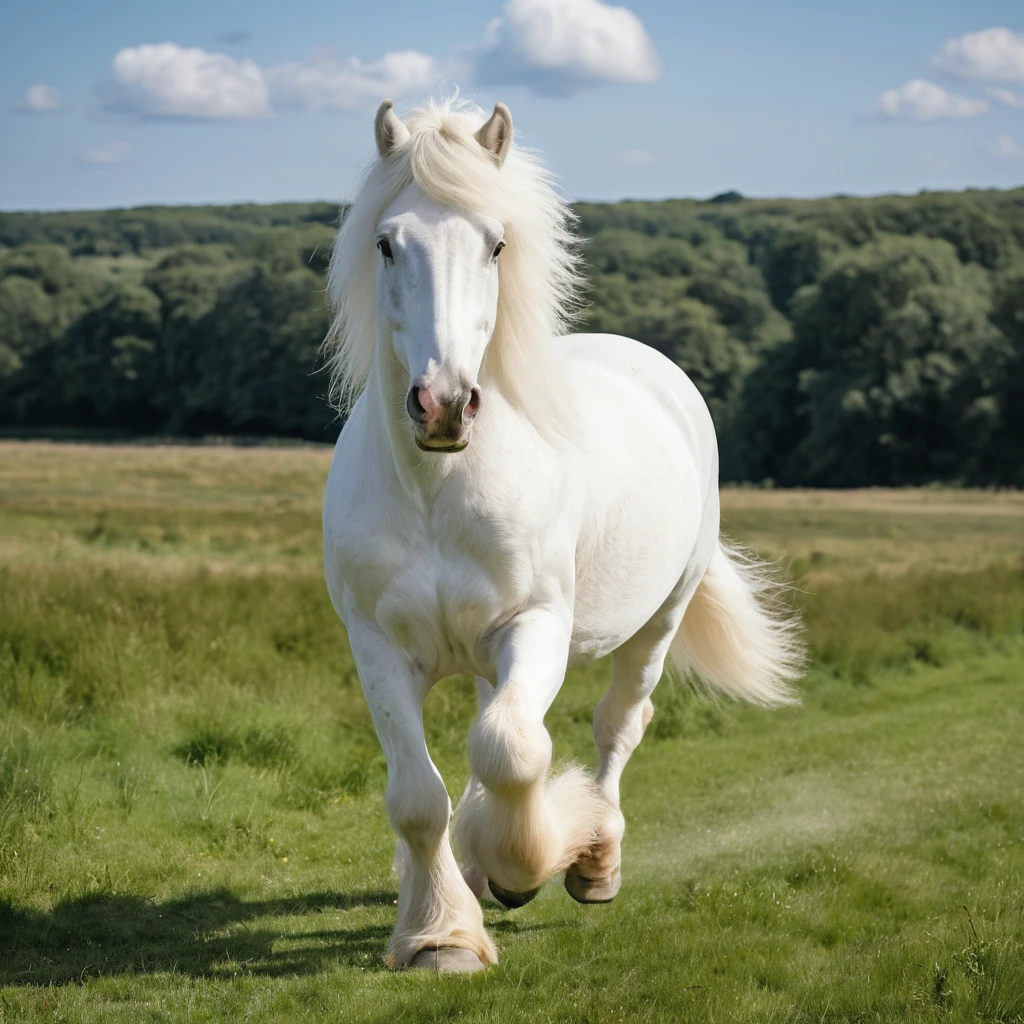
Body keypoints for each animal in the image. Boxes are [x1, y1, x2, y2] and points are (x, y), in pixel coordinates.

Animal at [322, 97, 804, 974]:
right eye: (386, 243)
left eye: (496, 244)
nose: (444, 404)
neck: (439, 490)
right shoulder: (377, 645)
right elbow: (418, 797)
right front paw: (439, 935)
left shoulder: (536, 625)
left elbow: (515, 749)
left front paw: (530, 863)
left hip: (658, 620)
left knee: (617, 725)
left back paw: (594, 861)